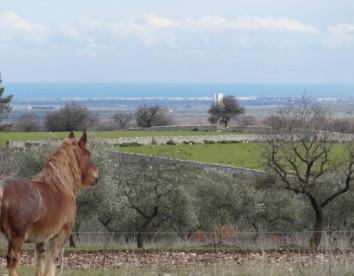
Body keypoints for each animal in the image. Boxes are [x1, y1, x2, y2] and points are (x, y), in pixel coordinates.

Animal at [0, 132, 99, 276]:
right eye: (89, 154)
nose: (97, 175)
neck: (60, 186)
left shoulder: (40, 241)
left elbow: (40, 265)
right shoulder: (59, 238)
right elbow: (51, 264)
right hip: (17, 239)